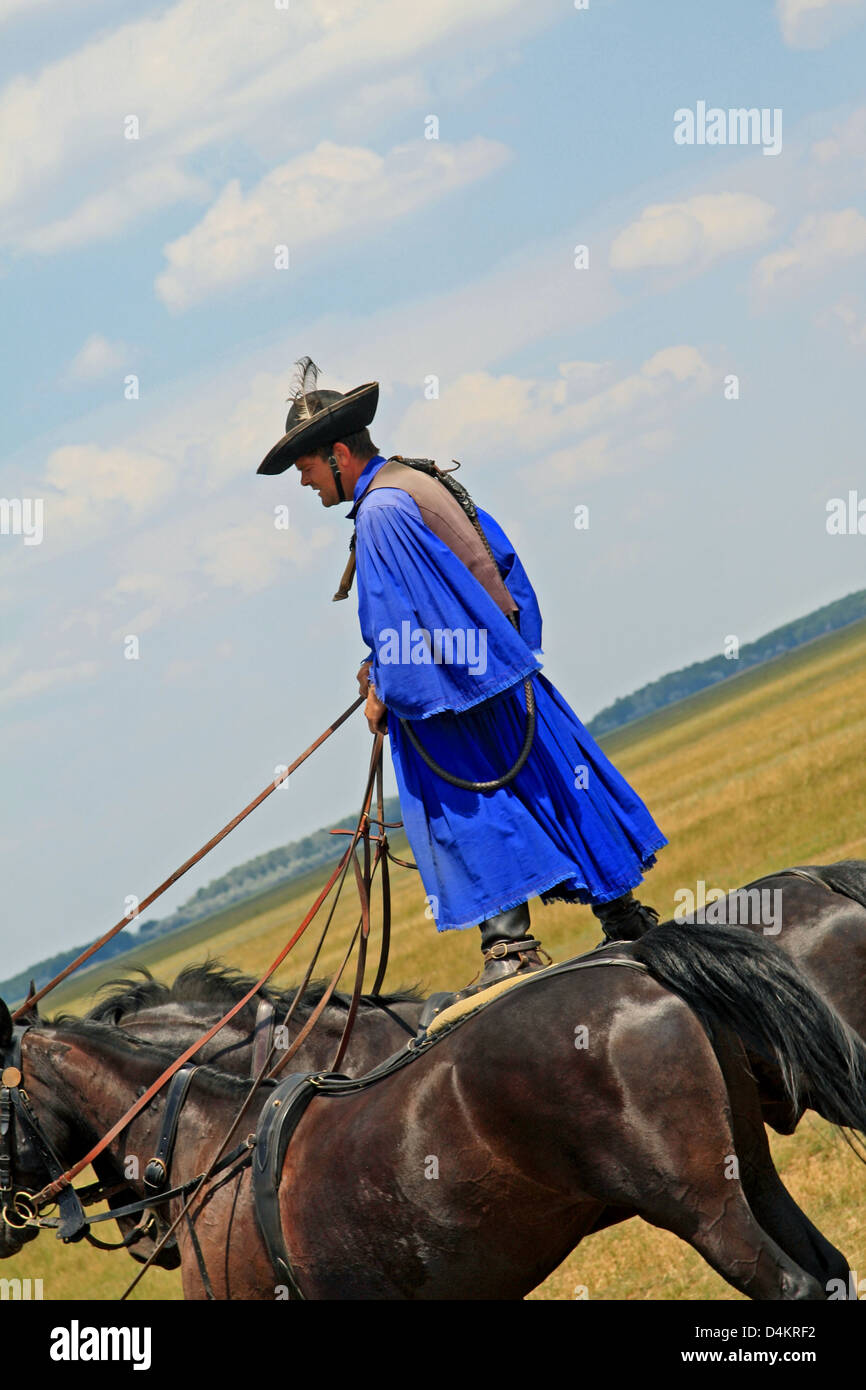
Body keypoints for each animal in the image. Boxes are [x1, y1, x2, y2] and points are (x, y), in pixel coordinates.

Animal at [1, 917, 866, 1295]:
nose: (148, 1242)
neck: (213, 1150)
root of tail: (640, 965)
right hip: (749, 1179)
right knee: (827, 1274)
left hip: (702, 1210)